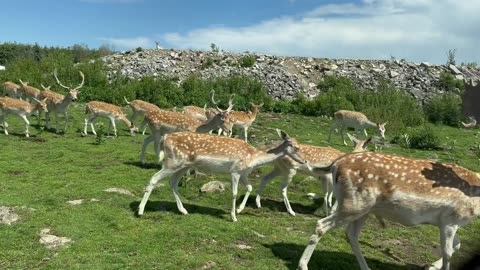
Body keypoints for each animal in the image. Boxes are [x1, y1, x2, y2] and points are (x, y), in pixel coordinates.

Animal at [137, 130, 306, 223]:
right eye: (295, 147)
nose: (304, 161)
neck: (253, 157)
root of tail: (164, 139)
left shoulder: (243, 172)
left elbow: (250, 187)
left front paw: (239, 209)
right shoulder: (235, 171)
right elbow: (234, 193)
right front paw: (233, 217)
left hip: (183, 165)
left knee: (173, 182)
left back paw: (183, 210)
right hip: (173, 161)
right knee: (154, 178)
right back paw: (140, 211)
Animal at [296, 152, 480, 270]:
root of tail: (335, 164)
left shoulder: (447, 222)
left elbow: (457, 245)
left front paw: (431, 266)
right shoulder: (451, 220)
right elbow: (448, 252)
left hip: (363, 209)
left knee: (351, 234)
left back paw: (366, 268)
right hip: (354, 204)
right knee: (322, 225)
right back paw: (303, 265)